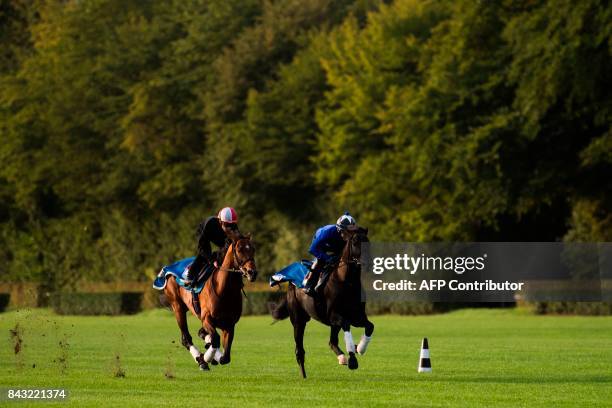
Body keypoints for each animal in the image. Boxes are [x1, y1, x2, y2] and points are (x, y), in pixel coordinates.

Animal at [163, 234, 256, 372]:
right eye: (239, 249)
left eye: (253, 249)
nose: (252, 272)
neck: (224, 290)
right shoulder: (207, 319)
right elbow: (216, 340)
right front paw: (204, 358)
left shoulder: (229, 324)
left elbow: (225, 357)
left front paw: (213, 356)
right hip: (178, 307)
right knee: (186, 338)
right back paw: (201, 359)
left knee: (201, 334)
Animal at [272, 228, 372, 378]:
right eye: (355, 241)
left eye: (367, 241)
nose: (369, 262)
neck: (347, 283)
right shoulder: (335, 316)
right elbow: (346, 324)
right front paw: (353, 359)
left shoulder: (357, 316)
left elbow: (370, 326)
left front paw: (359, 348)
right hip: (298, 320)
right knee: (299, 350)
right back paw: (304, 375)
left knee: (332, 342)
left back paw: (342, 357)